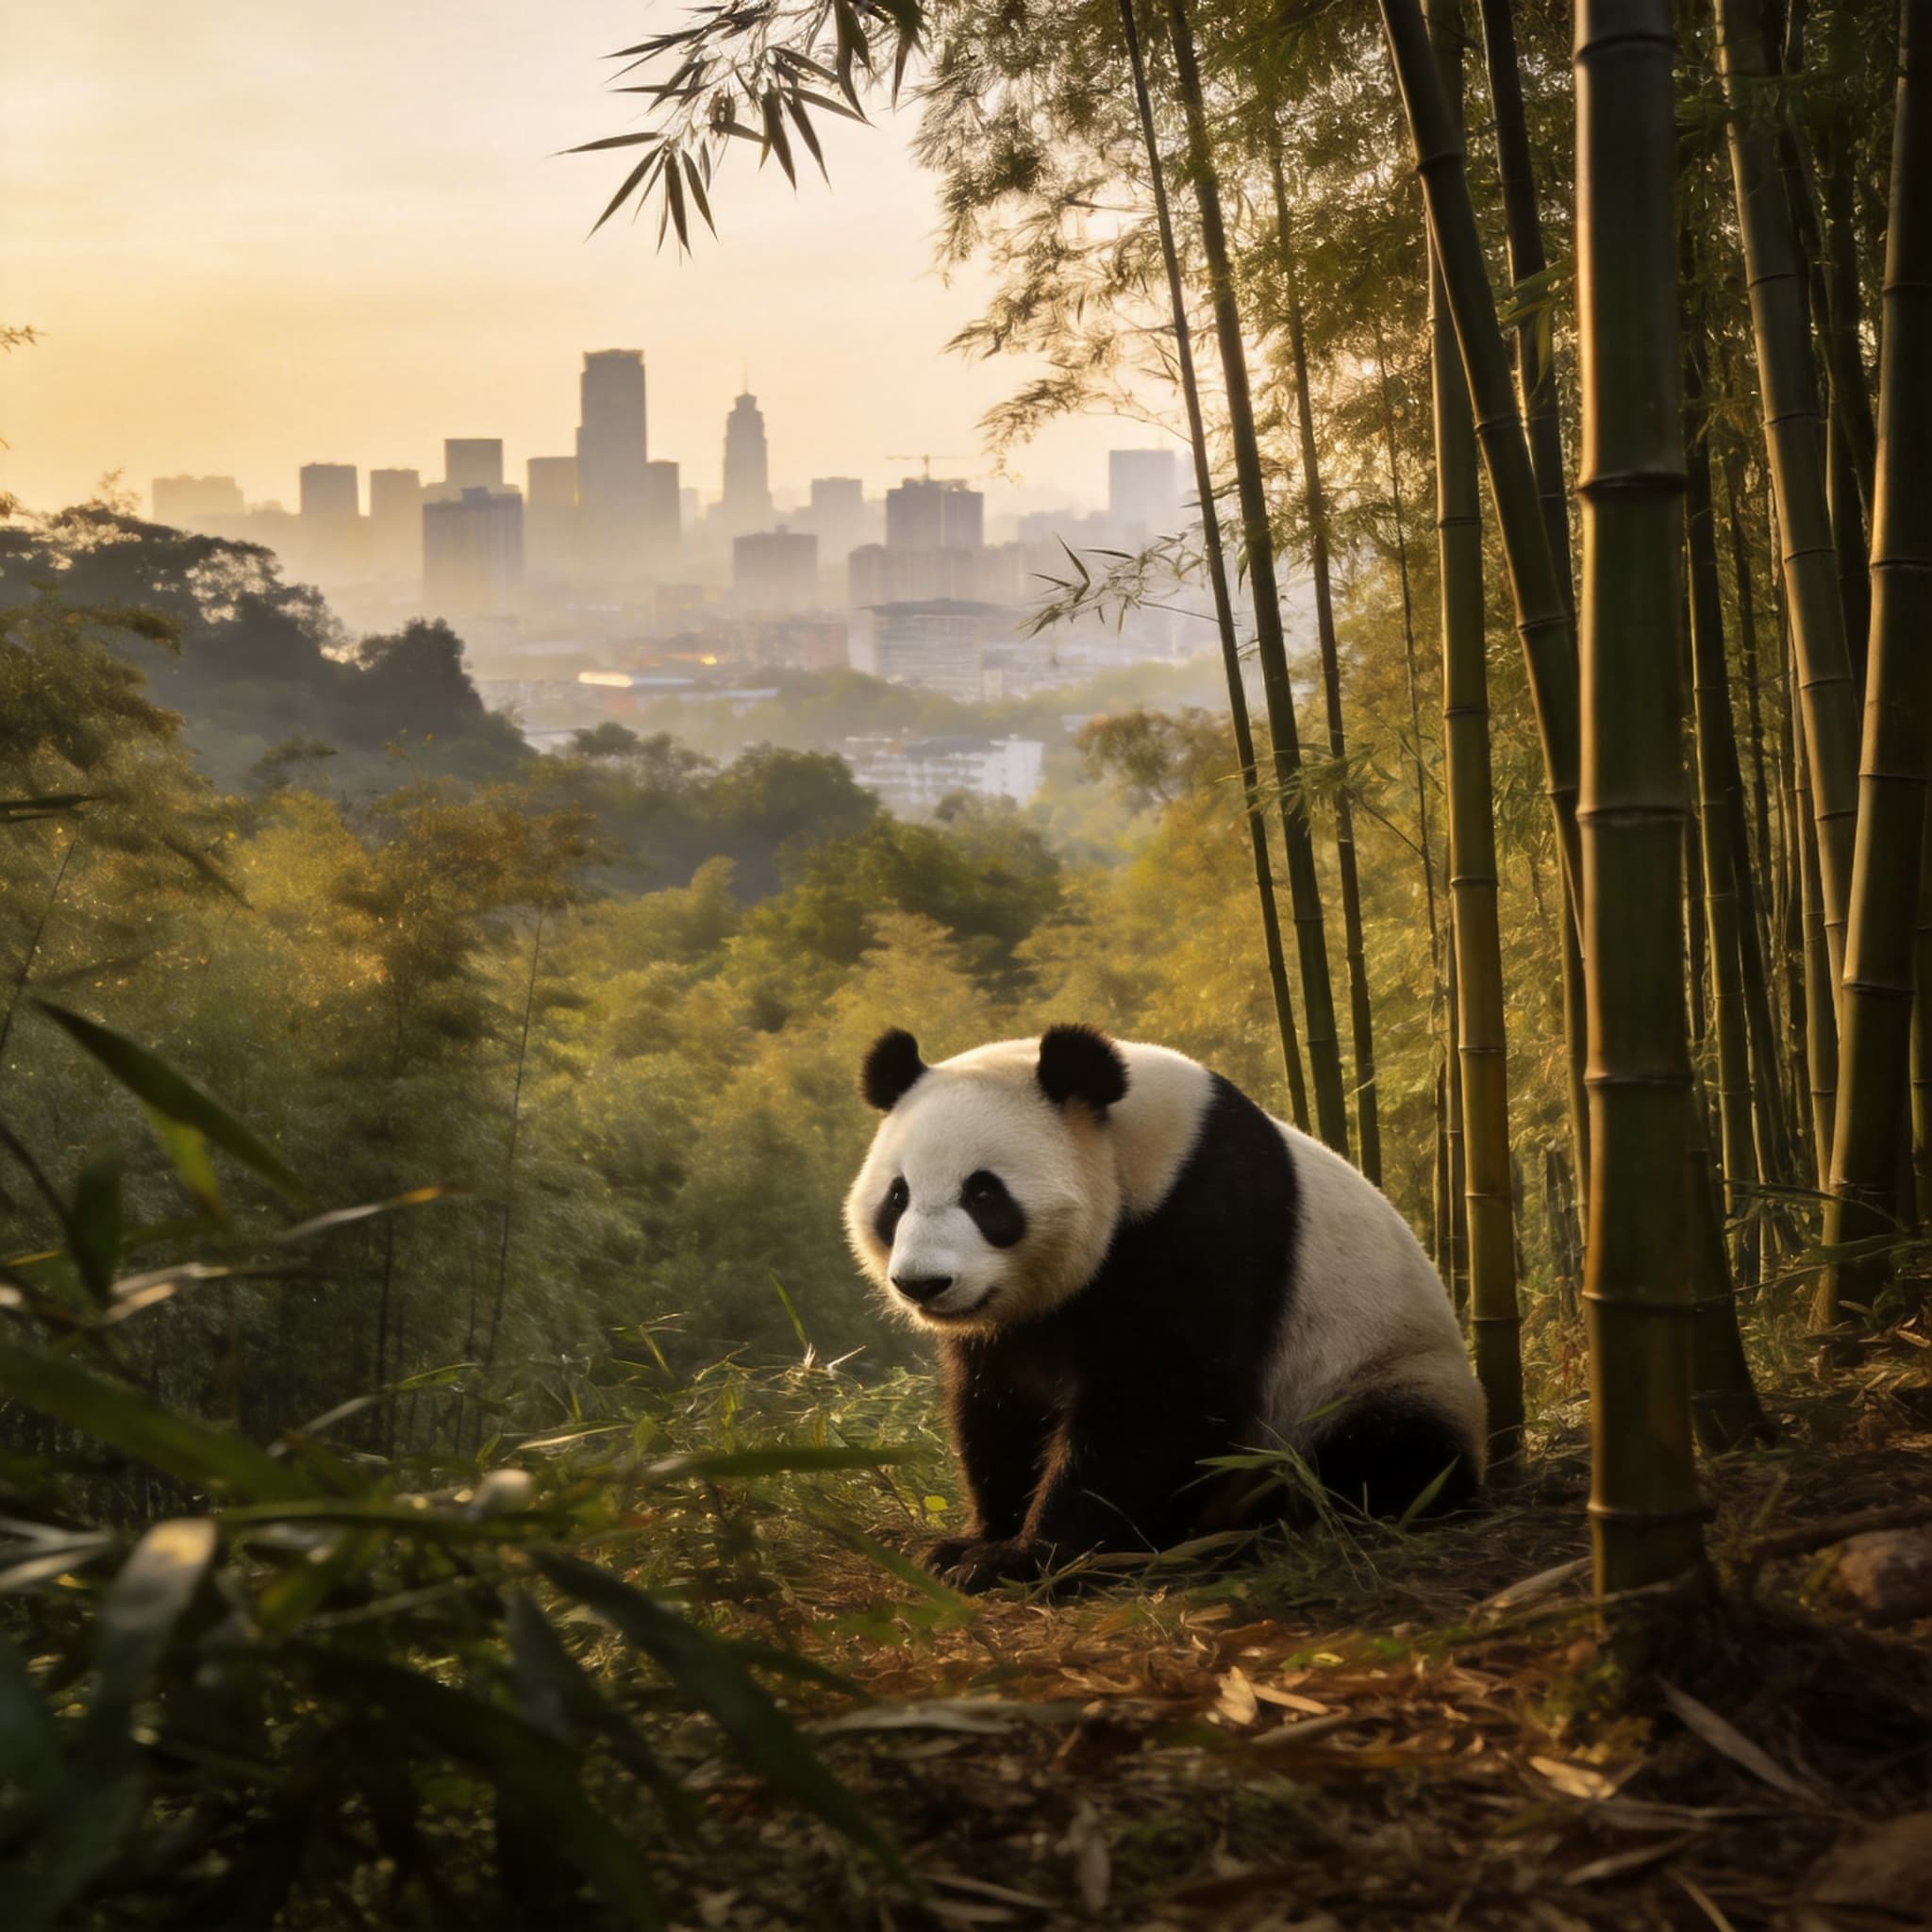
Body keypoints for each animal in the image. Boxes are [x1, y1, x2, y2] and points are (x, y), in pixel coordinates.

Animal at [843, 1023, 1486, 1592]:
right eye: (897, 1197)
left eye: (983, 1193)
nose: (923, 1284)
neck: (1134, 1149)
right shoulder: (1013, 1321)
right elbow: (999, 1403)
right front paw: (972, 1543)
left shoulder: (1201, 1218)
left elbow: (1156, 1403)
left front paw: (1029, 1558)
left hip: (1373, 1372)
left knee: (1384, 1457)